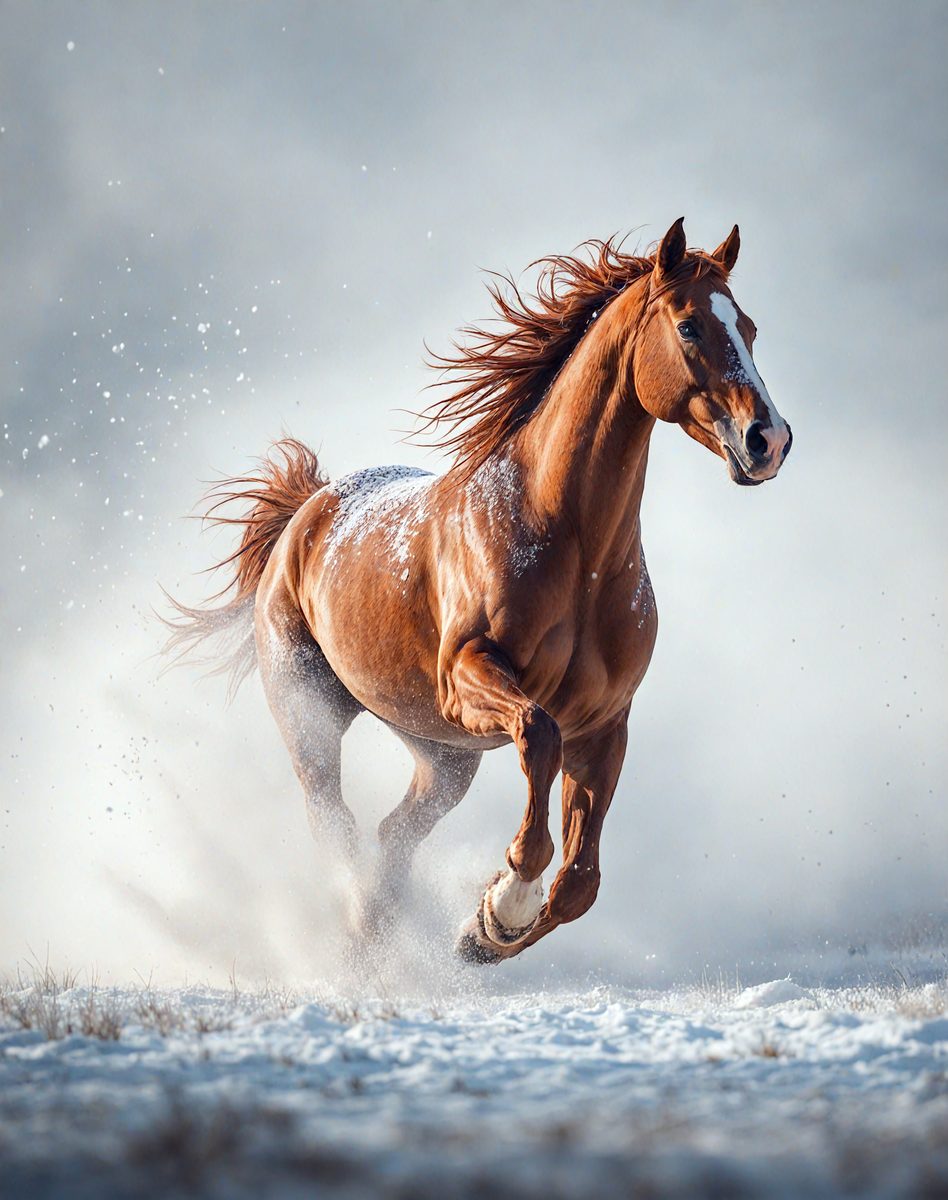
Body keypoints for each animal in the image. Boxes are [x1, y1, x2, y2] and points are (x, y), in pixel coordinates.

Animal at [165, 218, 792, 964]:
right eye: (690, 324)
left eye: (749, 327)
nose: (768, 439)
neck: (569, 546)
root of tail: (305, 514)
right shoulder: (469, 680)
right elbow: (539, 739)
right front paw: (507, 898)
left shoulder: (605, 723)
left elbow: (579, 885)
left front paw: (482, 933)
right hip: (312, 719)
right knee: (336, 826)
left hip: (442, 757)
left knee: (394, 835)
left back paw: (384, 938)